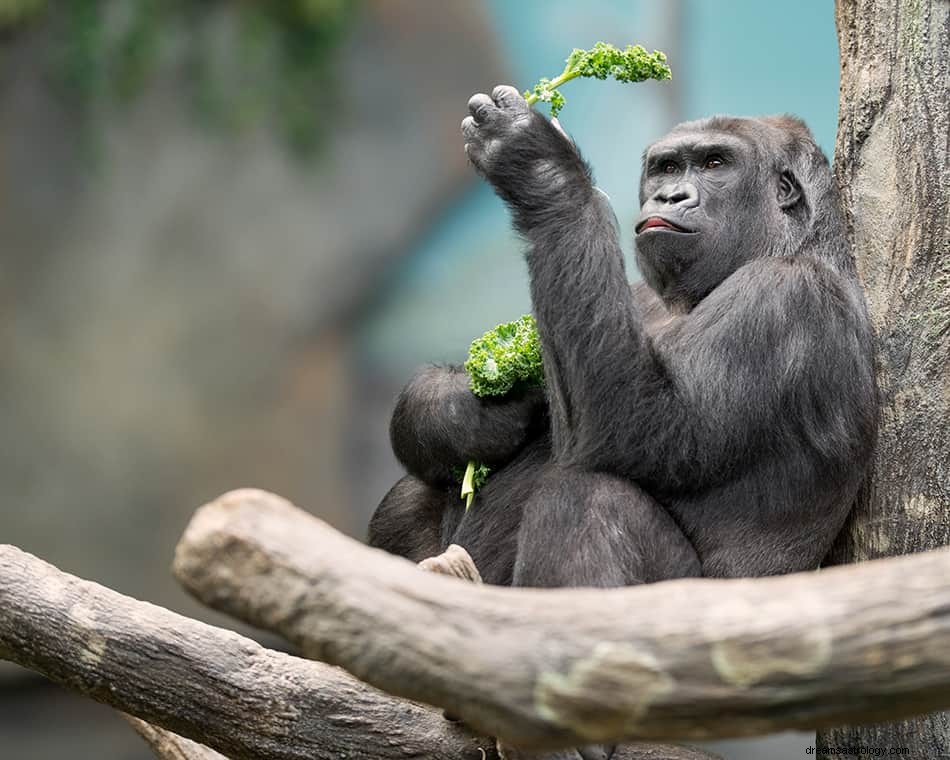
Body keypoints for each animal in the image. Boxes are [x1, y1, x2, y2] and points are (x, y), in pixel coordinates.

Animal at [368, 84, 880, 592]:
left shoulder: (784, 295)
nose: (670, 196)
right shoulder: (632, 291)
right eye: (667, 168)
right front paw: (474, 414)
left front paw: (538, 167)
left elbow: (646, 425)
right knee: (412, 496)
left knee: (589, 499)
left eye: (716, 163)